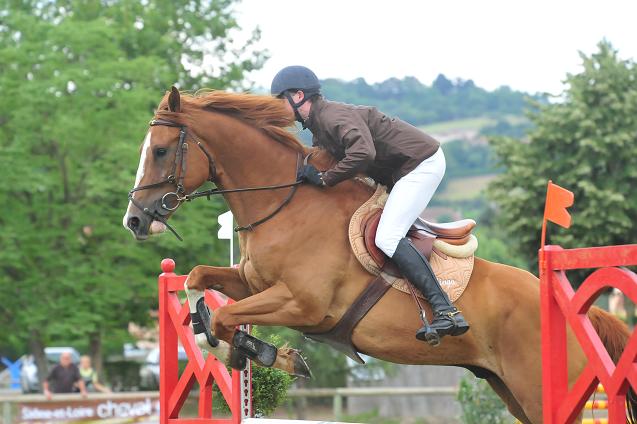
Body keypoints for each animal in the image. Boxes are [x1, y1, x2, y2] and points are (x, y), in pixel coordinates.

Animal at [121, 88, 632, 422]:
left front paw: (268, 354)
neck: (285, 203)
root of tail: (585, 312)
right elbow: (197, 280)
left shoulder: (303, 304)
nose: (135, 221)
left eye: (161, 151)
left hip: (538, 390)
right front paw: (252, 348)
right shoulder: (253, 283)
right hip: (510, 390)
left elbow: (228, 319)